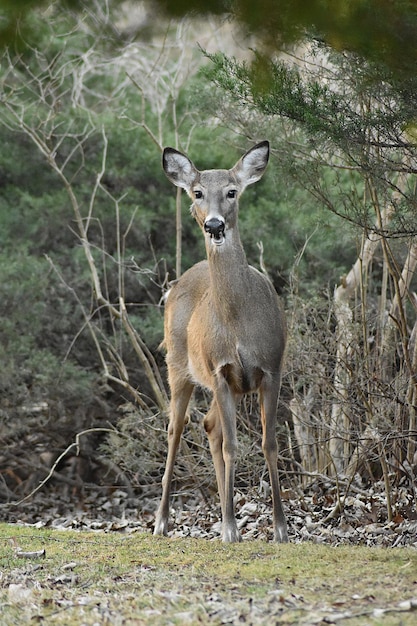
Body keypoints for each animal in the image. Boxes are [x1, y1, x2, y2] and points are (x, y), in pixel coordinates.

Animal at [154, 141, 288, 540]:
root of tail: (175, 285)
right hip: (179, 365)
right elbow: (232, 446)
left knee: (209, 426)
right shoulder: (219, 369)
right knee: (176, 428)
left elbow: (269, 443)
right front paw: (230, 528)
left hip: (220, 384)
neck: (239, 323)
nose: (214, 224)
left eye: (231, 192)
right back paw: (162, 521)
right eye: (197, 193)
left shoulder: (271, 368)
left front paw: (280, 528)